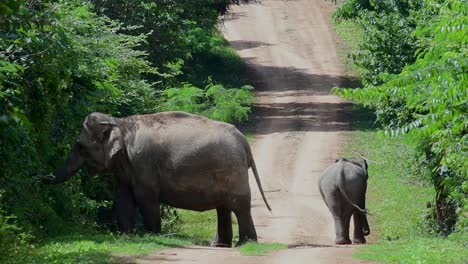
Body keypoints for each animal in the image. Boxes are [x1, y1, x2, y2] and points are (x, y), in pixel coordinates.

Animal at [44, 110, 270, 246]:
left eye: (80, 146)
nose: (39, 180)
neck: (119, 122)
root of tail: (243, 142)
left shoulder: (143, 163)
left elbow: (145, 198)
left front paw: (151, 235)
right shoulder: (126, 167)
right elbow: (123, 199)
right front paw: (126, 236)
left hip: (232, 170)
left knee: (239, 205)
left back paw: (245, 244)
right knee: (223, 207)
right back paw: (220, 245)